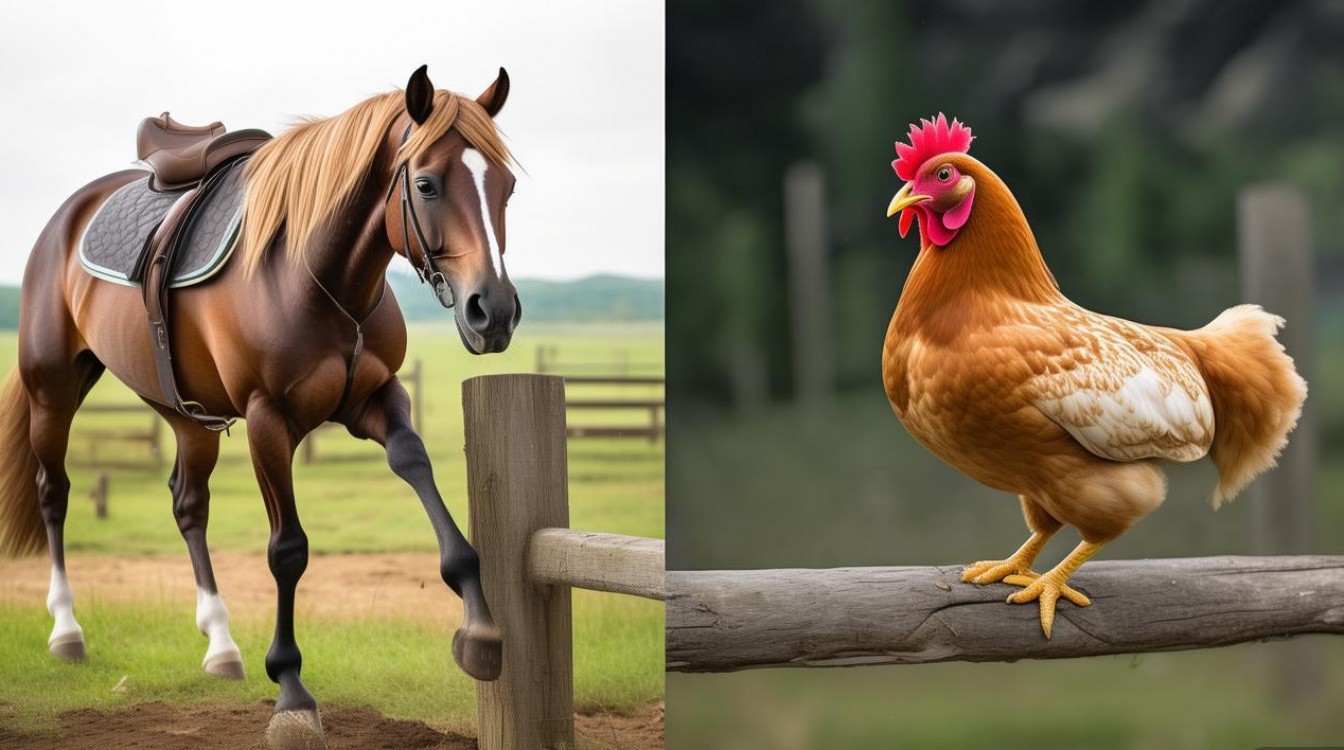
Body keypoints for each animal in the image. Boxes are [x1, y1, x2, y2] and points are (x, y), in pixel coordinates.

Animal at [0, 65, 519, 746]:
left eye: (507, 185)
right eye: (427, 184)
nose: (495, 311)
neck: (316, 276)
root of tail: (65, 216)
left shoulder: (377, 397)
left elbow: (416, 466)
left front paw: (480, 626)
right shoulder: (268, 421)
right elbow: (287, 549)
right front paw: (292, 692)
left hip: (184, 413)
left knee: (187, 503)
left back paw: (220, 644)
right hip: (52, 390)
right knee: (53, 493)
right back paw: (67, 630)